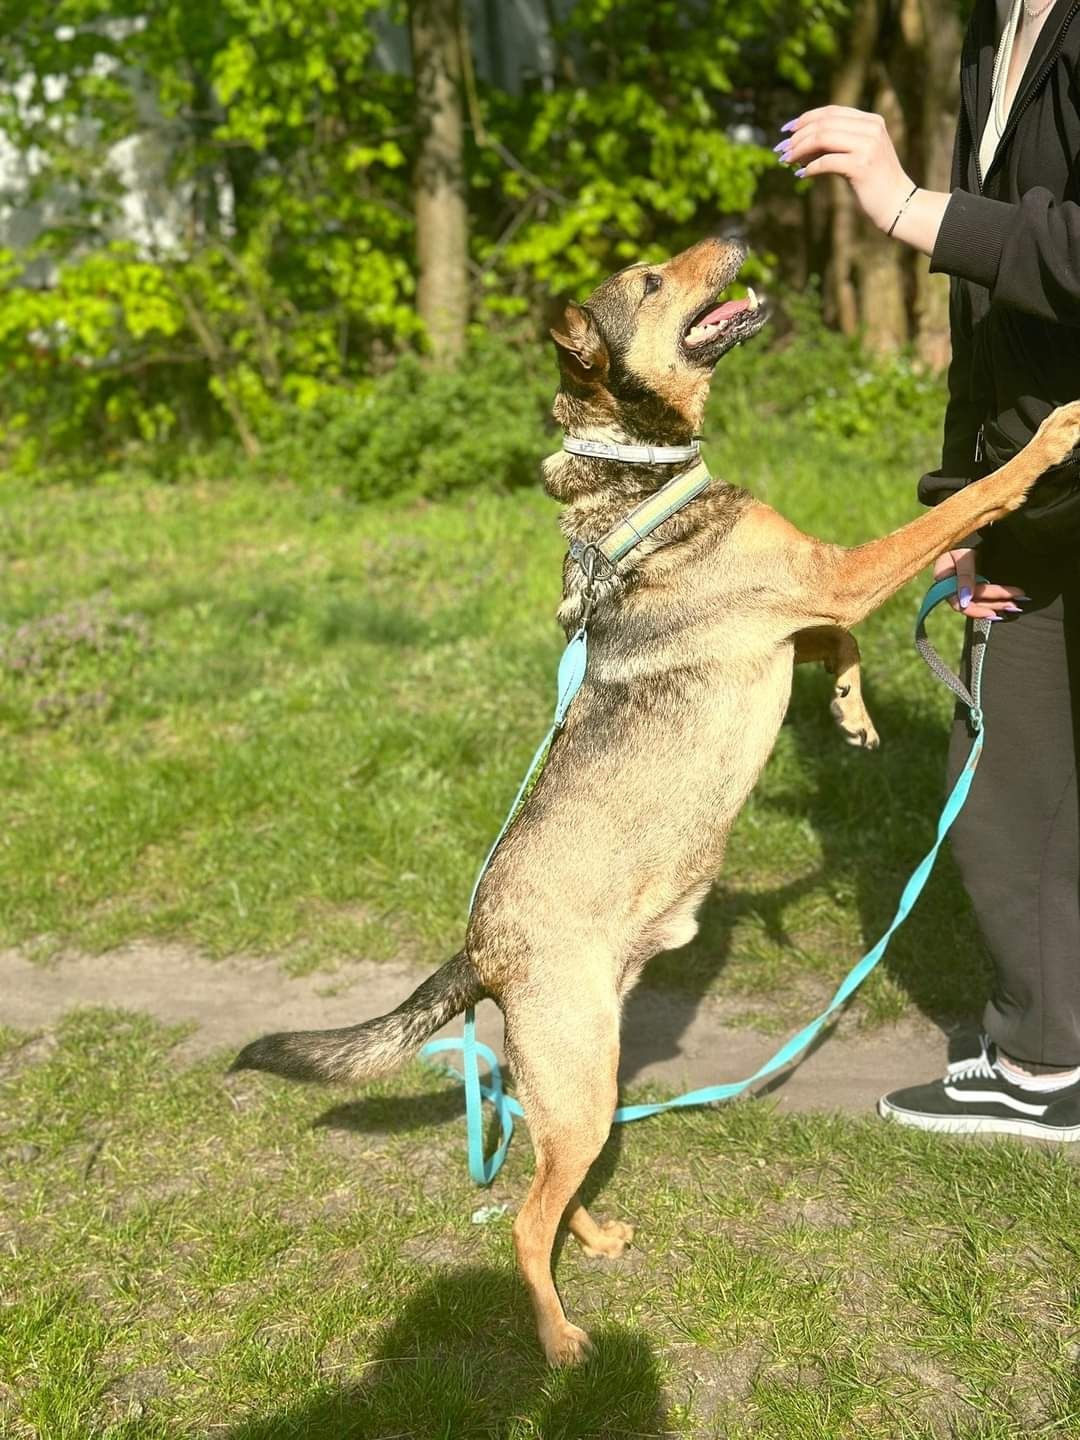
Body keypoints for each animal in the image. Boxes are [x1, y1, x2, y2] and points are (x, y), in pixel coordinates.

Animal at [230, 233, 1080, 1359]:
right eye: (648, 280)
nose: (738, 230)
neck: (637, 482)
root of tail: (479, 950)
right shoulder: (836, 571)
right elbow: (958, 505)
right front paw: (1054, 435)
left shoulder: (810, 600)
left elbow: (838, 644)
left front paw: (852, 713)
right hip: (580, 1069)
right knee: (522, 1218)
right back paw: (559, 1341)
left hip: (580, 1077)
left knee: (550, 1176)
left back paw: (595, 1238)